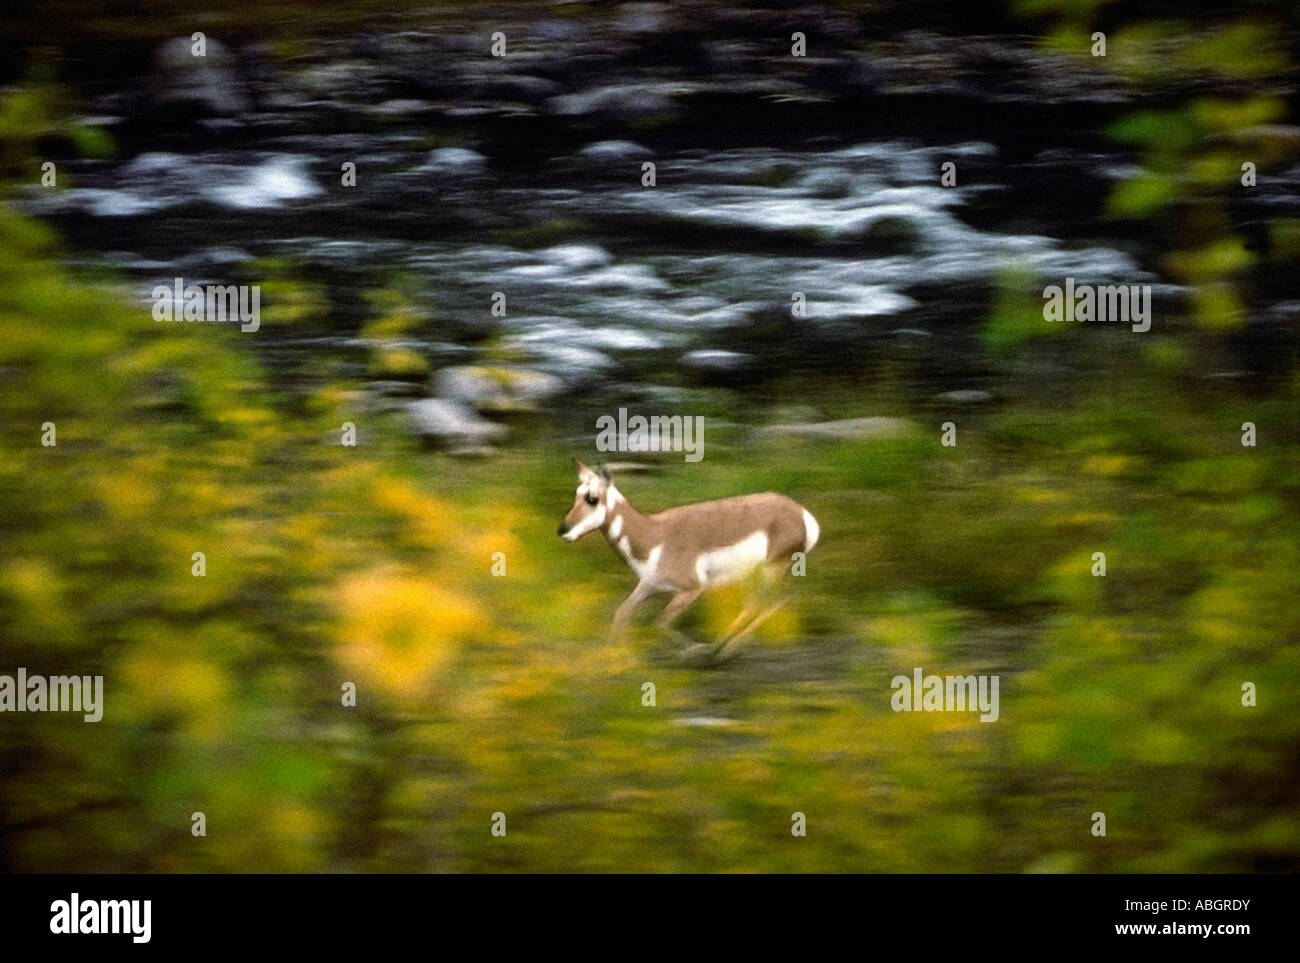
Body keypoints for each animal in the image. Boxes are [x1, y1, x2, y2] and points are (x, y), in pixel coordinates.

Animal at [557, 461, 819, 660]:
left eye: (592, 498)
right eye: (577, 494)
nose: (562, 531)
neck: (653, 535)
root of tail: (801, 513)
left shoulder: (692, 589)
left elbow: (661, 622)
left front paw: (695, 650)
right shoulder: (648, 586)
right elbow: (622, 615)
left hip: (769, 570)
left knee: (764, 603)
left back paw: (723, 649)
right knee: (772, 601)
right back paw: (725, 646)